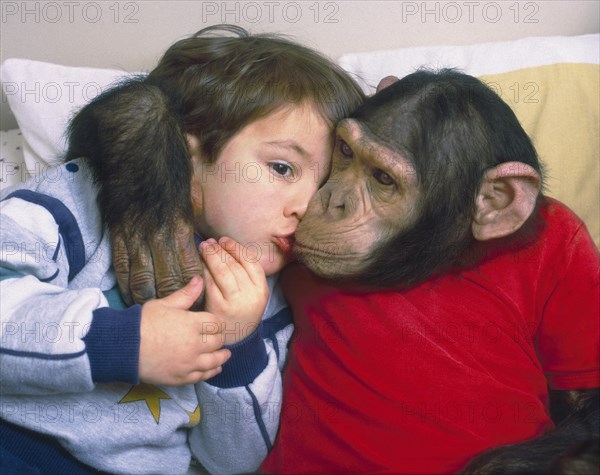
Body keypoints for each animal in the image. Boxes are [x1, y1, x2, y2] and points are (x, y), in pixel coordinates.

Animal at [77, 69, 596, 474]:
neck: (448, 259)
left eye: (383, 179)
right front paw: (151, 194)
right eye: (346, 153)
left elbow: (583, 400)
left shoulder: (570, 249)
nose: (332, 200)